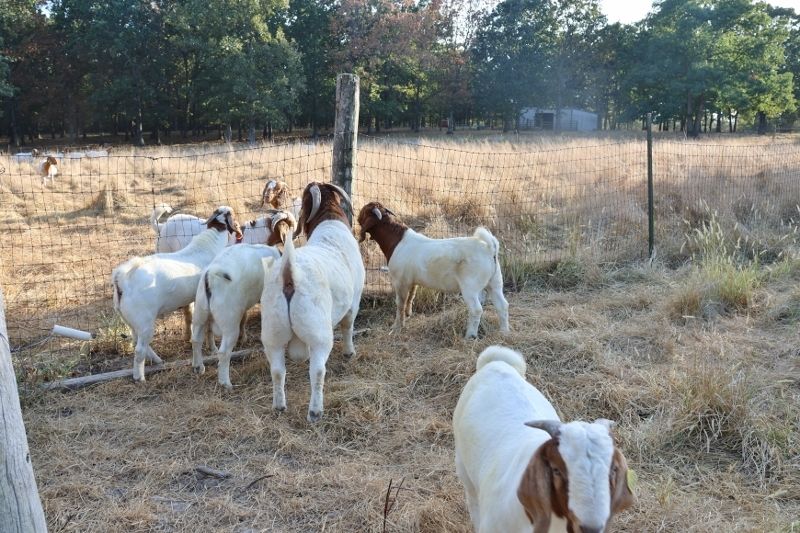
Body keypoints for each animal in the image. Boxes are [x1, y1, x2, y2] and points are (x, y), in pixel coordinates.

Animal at [112, 206, 243, 382]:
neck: (211, 240)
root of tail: (122, 280)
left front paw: (211, 349)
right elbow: (208, 328)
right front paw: (213, 349)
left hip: (131, 320)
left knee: (137, 342)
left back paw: (157, 360)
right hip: (144, 320)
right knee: (139, 349)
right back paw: (140, 377)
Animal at [190, 210, 296, 389]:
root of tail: (210, 276)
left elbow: (244, 318)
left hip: (200, 313)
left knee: (196, 339)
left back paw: (199, 367)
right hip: (228, 322)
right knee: (224, 352)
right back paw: (226, 383)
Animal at [260, 181, 365, 422]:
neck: (331, 223)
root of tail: (289, 273)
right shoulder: (353, 302)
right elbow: (348, 326)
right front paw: (349, 353)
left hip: (272, 333)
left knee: (277, 370)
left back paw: (279, 406)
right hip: (319, 333)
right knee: (317, 371)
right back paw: (315, 411)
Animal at [358, 201, 509, 339]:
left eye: (364, 211)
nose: (357, 218)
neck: (397, 241)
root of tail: (489, 247)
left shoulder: (400, 281)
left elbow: (400, 303)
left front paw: (396, 328)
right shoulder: (411, 281)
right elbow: (411, 297)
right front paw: (408, 315)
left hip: (470, 286)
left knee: (476, 309)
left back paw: (470, 336)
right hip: (495, 282)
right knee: (502, 305)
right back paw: (504, 332)